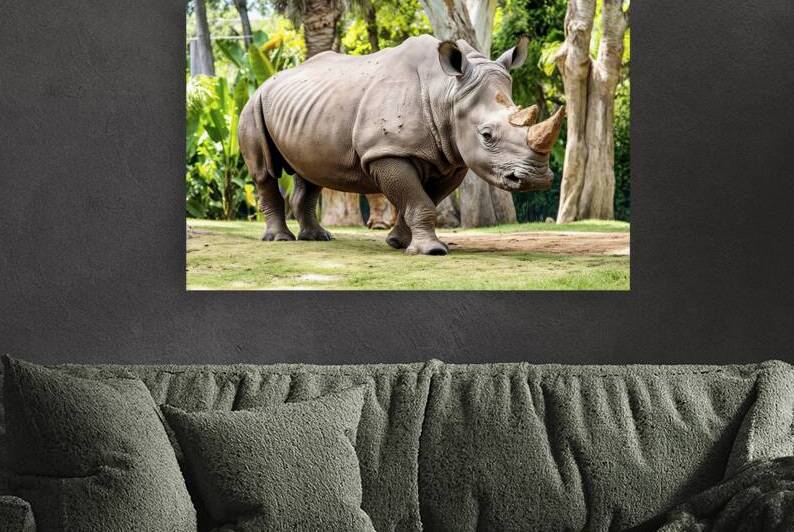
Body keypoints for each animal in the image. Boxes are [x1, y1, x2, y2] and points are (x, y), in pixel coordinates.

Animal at [238, 34, 564, 255]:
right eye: (487, 135)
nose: (535, 179)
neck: (446, 92)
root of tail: (267, 81)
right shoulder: (386, 151)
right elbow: (418, 200)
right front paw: (431, 251)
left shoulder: (451, 158)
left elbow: (425, 199)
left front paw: (398, 243)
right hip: (253, 105)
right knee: (265, 173)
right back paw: (280, 240)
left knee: (311, 173)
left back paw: (318, 238)